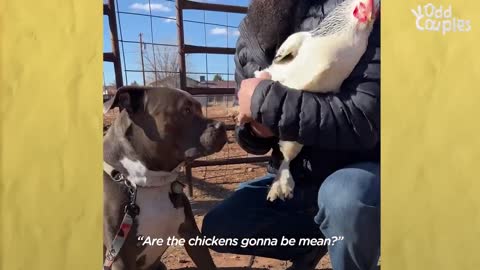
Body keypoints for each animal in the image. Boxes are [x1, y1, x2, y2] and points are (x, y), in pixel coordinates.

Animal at [103, 86, 227, 270]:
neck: (149, 182)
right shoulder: (120, 258)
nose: (223, 126)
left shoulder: (191, 234)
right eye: (186, 110)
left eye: (199, 108)